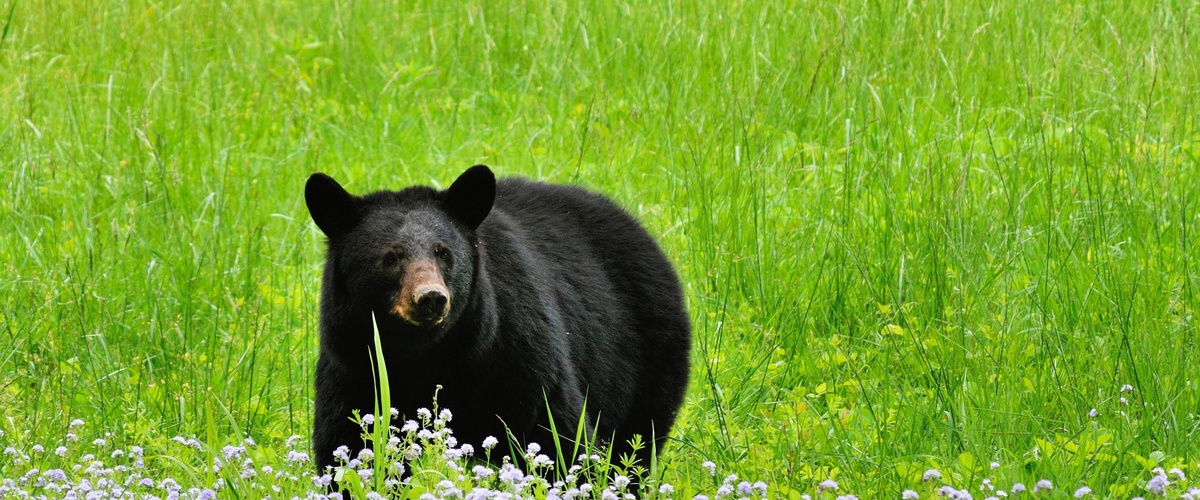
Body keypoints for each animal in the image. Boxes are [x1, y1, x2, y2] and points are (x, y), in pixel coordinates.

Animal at [304, 165, 692, 481]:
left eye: (444, 253)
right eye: (390, 257)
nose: (430, 298)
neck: (426, 357)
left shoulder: (517, 352)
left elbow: (557, 436)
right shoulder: (353, 366)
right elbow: (348, 445)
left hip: (649, 361)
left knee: (636, 442)